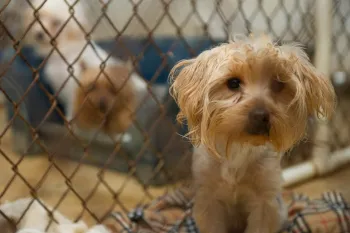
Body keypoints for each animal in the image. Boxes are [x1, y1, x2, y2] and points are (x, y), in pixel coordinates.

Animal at [170, 35, 336, 233]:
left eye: (279, 84)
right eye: (233, 83)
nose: (260, 115)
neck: (240, 147)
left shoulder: (264, 205)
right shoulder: (209, 202)